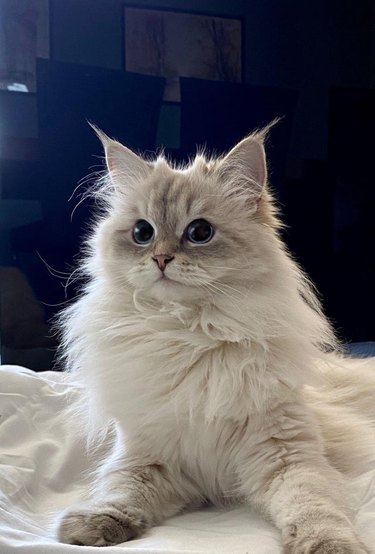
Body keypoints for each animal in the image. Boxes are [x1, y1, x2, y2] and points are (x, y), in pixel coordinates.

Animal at [56, 127, 375, 548]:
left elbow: (315, 509)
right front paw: (92, 527)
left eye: (200, 232)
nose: (161, 259)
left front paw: (331, 545)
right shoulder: (148, 456)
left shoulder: (287, 456)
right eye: (142, 233)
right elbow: (121, 492)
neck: (188, 335)